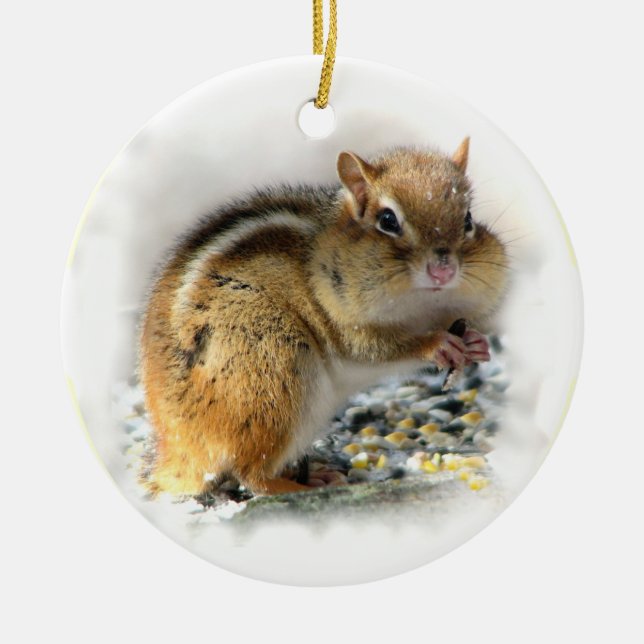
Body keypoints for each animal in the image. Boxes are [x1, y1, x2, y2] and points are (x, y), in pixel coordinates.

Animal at [138, 138, 508, 497]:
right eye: (388, 221)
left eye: (468, 219)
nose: (443, 270)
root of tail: (179, 451)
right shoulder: (343, 322)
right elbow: (374, 350)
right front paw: (437, 344)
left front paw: (476, 343)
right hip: (270, 366)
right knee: (250, 474)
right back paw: (292, 486)